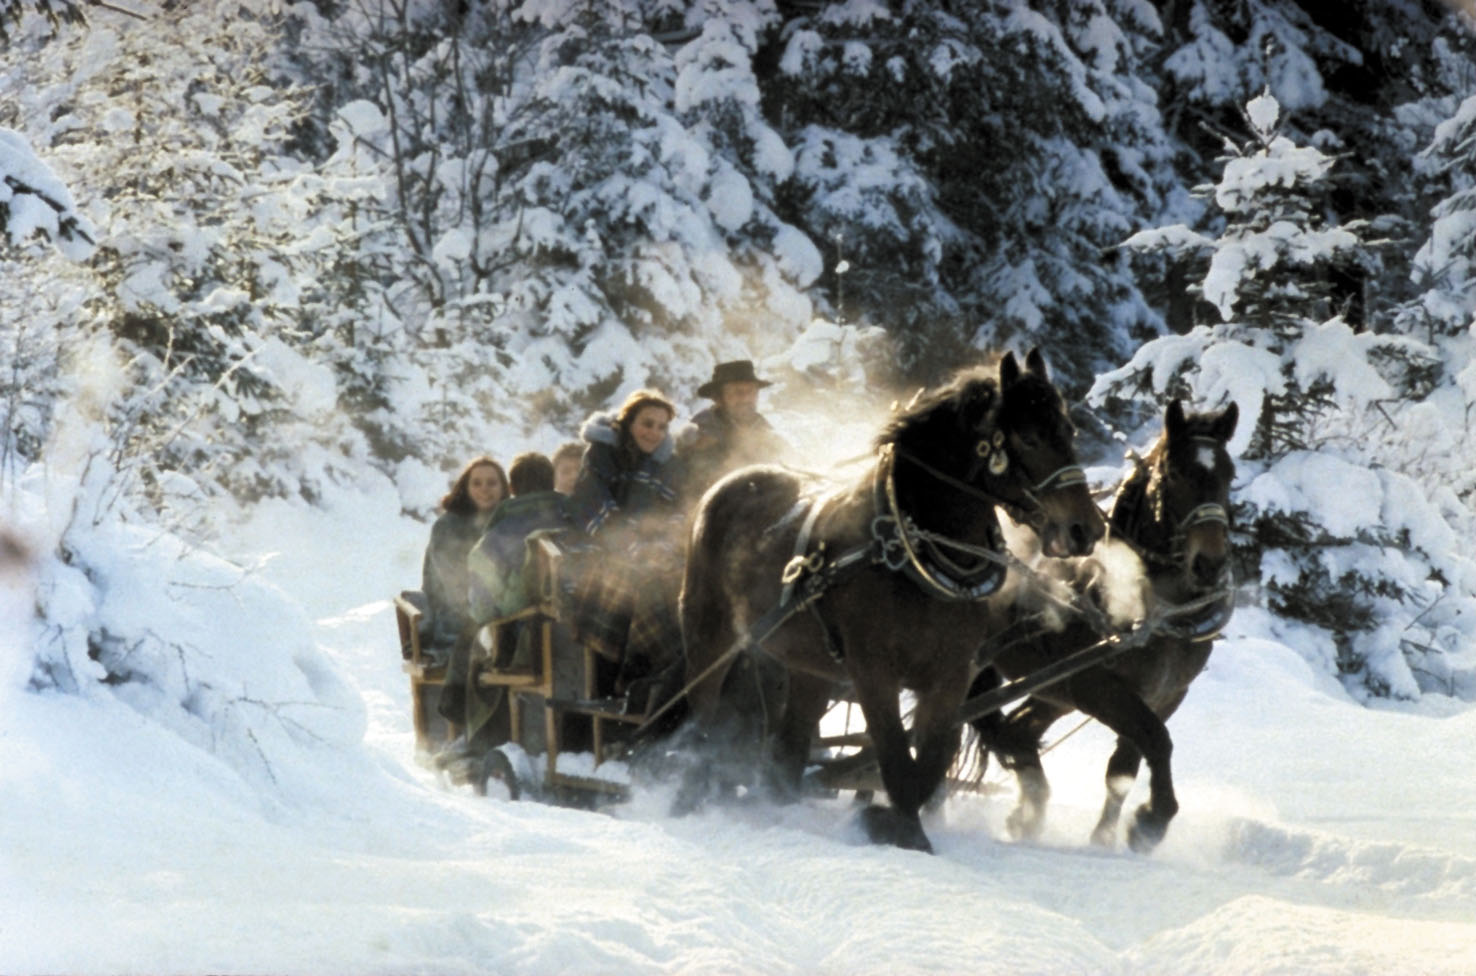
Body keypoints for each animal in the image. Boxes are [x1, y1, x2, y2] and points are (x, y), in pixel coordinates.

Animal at [676, 351, 1104, 850]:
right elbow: (898, 760)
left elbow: (930, 763)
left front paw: (891, 822)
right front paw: (901, 833)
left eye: (1069, 431)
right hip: (709, 636)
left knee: (787, 751)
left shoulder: (950, 675)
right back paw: (689, 794)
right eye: (1030, 437)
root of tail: (725, 484)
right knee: (703, 716)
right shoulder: (873, 671)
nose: (1085, 528)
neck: (913, 553)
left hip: (806, 667)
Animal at [968, 398, 1233, 850]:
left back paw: (1028, 811)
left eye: (1229, 474)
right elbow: (1156, 742)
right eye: (1175, 473)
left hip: (1054, 690)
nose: (1210, 564)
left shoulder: (1166, 694)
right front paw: (1152, 820)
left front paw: (1107, 837)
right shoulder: (1097, 688)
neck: (1158, 613)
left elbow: (1125, 766)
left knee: (1016, 731)